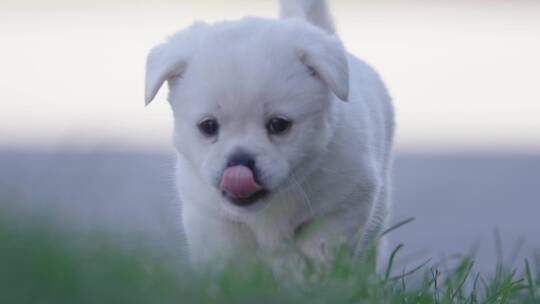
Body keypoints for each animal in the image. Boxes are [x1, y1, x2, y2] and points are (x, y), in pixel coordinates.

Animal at [146, 0, 394, 266]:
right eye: (208, 126)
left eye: (278, 125)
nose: (239, 162)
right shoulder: (210, 216)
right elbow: (225, 257)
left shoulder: (346, 203)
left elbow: (320, 249)